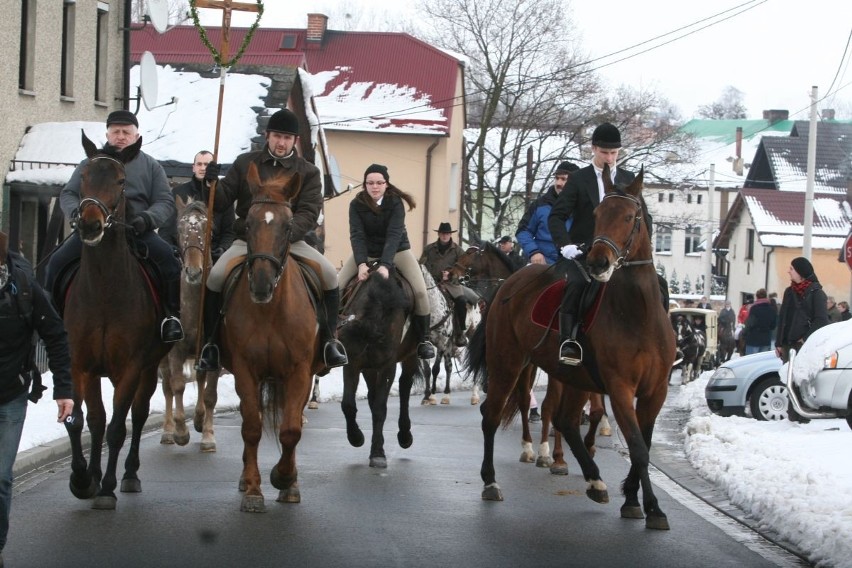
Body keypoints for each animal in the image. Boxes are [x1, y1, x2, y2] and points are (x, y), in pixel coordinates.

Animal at [61, 133, 173, 510]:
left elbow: (117, 428)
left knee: (137, 416)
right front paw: (84, 479)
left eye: (122, 182)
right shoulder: (80, 364)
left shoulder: (131, 366)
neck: (104, 291)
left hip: (150, 368)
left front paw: (106, 487)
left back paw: (129, 475)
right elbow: (84, 421)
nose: (90, 224)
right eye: (83, 176)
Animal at [218, 162, 322, 512]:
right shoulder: (245, 370)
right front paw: (253, 490)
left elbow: (291, 430)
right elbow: (251, 427)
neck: (271, 310)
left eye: (288, 226)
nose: (261, 285)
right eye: (248, 223)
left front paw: (284, 479)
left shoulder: (299, 373)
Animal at [336, 264, 422, 468]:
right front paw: (356, 437)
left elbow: (380, 408)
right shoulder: (354, 364)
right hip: (369, 368)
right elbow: (348, 404)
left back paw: (405, 435)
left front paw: (377, 453)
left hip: (410, 356)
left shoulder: (386, 366)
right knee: (372, 395)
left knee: (404, 387)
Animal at [462, 164, 676, 528]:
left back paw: (594, 480)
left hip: (575, 377)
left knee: (566, 420)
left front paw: (633, 499)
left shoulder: (655, 390)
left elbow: (643, 445)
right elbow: (636, 445)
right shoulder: (620, 386)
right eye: (598, 213)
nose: (598, 262)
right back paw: (491, 482)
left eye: (630, 216)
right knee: (492, 414)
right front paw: (652, 507)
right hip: (508, 362)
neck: (637, 313)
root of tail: (509, 283)